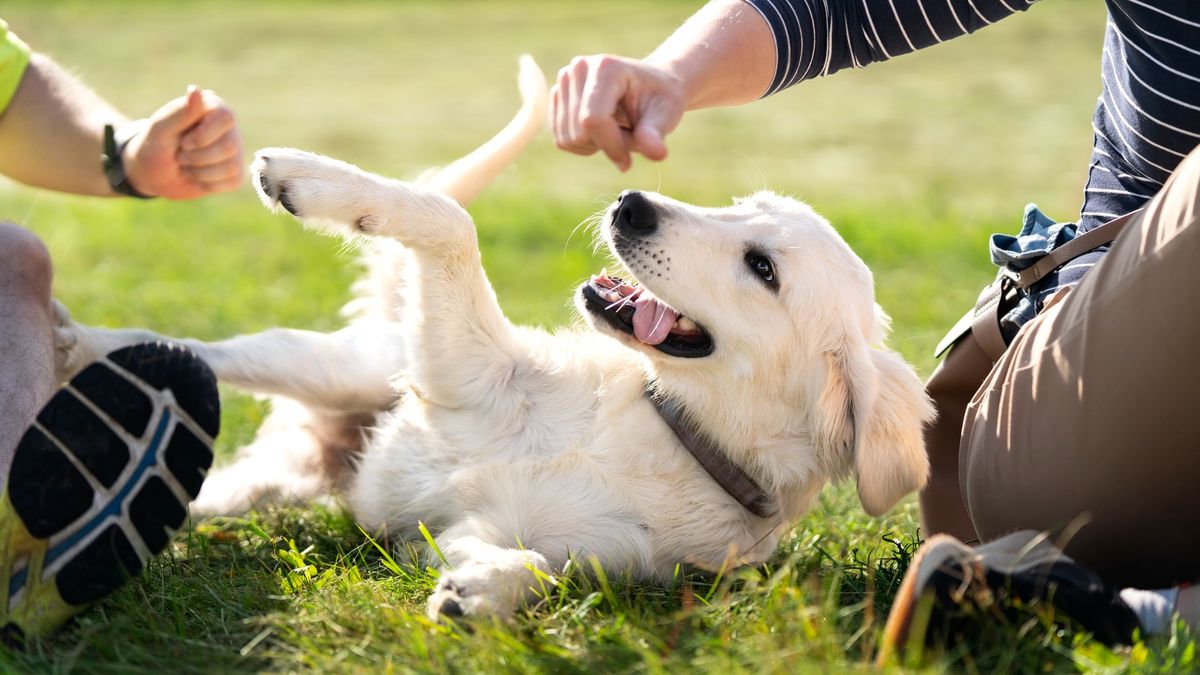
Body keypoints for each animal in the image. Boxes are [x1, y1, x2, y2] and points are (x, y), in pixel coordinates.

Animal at [54, 56, 936, 614]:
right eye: (742, 203)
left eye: (762, 268)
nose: (631, 205)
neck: (666, 428)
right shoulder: (461, 372)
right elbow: (449, 217)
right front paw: (313, 176)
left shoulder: (479, 536)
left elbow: (542, 568)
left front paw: (484, 594)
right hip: (335, 364)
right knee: (200, 352)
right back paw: (78, 340)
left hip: (272, 478)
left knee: (206, 465)